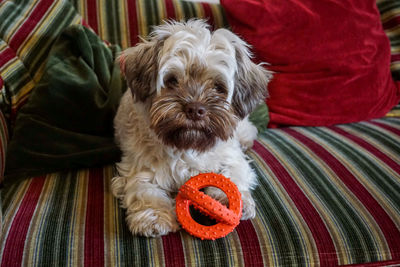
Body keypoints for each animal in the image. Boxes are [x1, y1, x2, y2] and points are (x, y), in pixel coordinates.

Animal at [111, 18, 270, 238]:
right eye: (171, 81)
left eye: (218, 87)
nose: (195, 109)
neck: (188, 146)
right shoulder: (138, 169)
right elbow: (146, 192)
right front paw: (154, 217)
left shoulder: (234, 158)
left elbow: (233, 176)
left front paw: (231, 202)